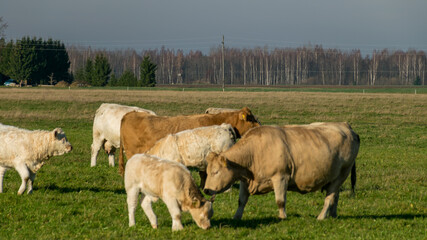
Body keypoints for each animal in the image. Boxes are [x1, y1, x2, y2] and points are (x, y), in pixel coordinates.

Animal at [204, 123, 362, 220]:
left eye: (216, 172)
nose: (206, 190)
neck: (255, 151)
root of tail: (345, 126)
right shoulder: (245, 180)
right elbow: (241, 201)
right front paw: (237, 217)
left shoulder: (280, 177)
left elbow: (280, 201)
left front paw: (282, 217)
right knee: (335, 196)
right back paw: (333, 215)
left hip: (342, 174)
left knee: (330, 197)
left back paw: (322, 216)